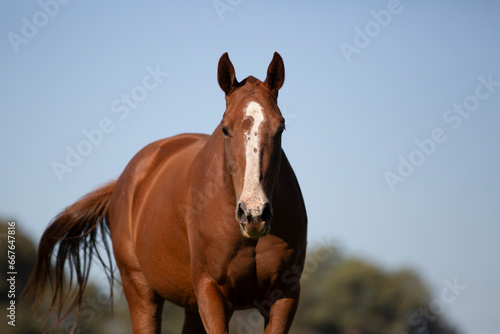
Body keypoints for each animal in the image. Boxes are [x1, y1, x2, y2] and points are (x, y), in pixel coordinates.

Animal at [27, 52, 308, 334]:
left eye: (280, 128)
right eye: (225, 129)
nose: (254, 213)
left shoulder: (284, 295)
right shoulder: (211, 292)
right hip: (141, 290)